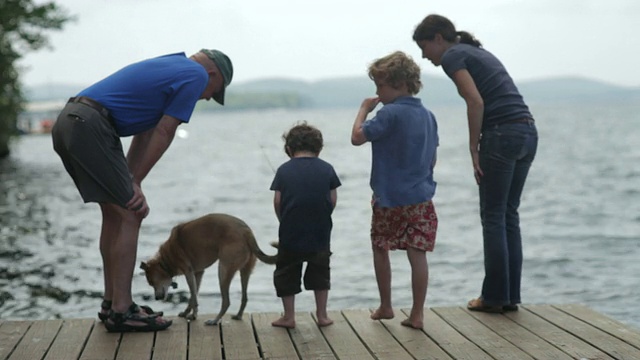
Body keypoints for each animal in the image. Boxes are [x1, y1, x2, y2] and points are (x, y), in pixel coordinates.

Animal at [140, 212, 276, 324]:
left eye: (151, 282)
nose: (157, 298)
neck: (166, 259)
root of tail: (246, 231)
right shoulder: (198, 273)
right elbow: (193, 296)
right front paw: (187, 313)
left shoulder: (189, 273)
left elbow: (194, 297)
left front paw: (193, 315)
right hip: (245, 271)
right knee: (245, 297)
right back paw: (238, 316)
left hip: (223, 270)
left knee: (226, 301)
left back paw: (215, 320)